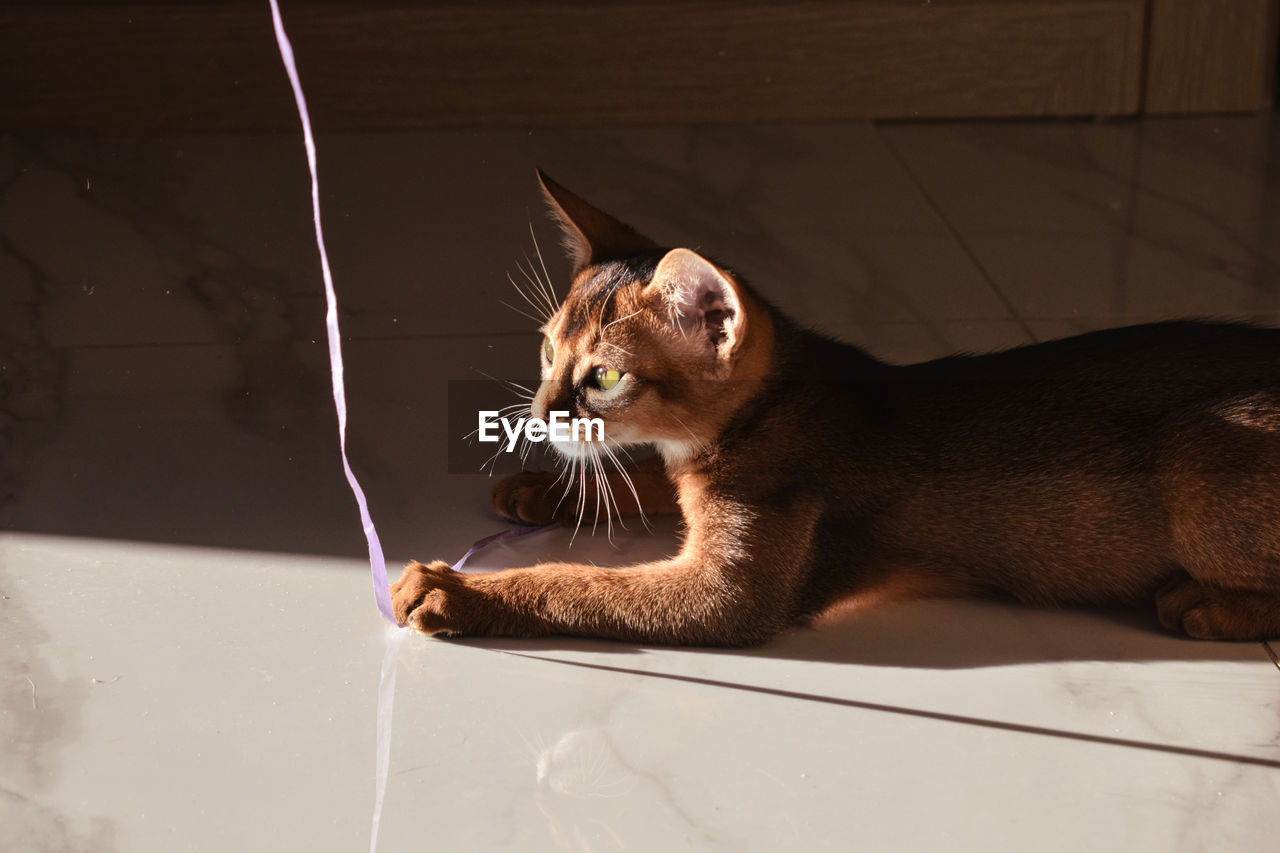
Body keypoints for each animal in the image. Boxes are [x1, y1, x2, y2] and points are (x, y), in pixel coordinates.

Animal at [389, 171, 1280, 645]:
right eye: (547, 351)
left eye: (603, 377)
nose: (539, 409)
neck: (770, 410)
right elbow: (644, 480)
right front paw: (542, 487)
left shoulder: (730, 592)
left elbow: (581, 585)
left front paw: (459, 591)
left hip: (1198, 453)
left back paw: (1208, 603)